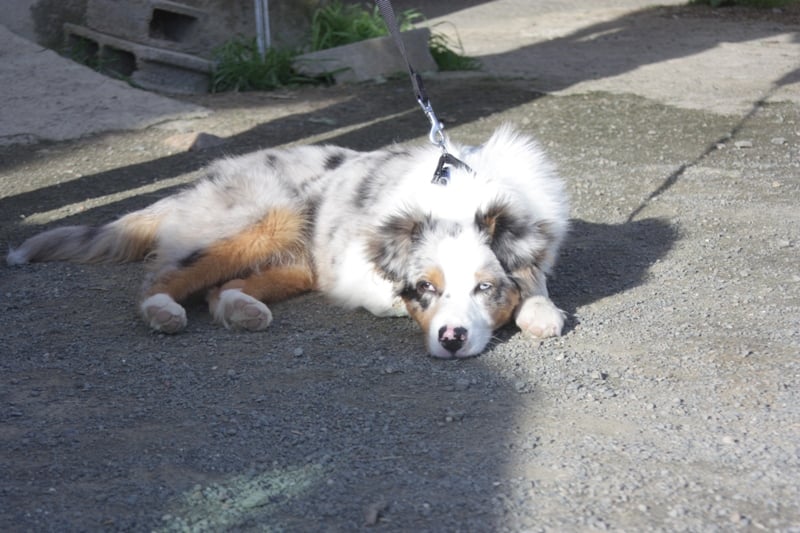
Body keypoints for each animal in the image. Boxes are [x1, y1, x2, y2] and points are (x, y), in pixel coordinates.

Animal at [6, 125, 568, 358]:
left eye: (483, 289)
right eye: (425, 288)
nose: (451, 339)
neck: (457, 198)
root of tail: (208, 176)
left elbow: (535, 281)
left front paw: (541, 312)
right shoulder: (352, 266)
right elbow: (383, 296)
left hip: (295, 258)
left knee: (221, 288)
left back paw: (241, 310)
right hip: (267, 218)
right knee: (162, 277)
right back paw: (164, 312)